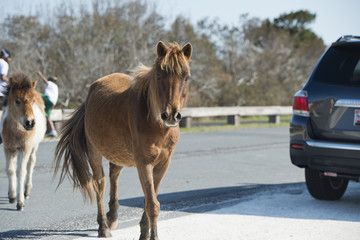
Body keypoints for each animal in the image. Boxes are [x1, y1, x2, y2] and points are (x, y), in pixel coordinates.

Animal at [1, 72, 46, 211]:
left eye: (33, 101)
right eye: (17, 101)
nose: (30, 123)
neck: (18, 131)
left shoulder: (25, 148)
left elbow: (21, 171)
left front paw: (20, 202)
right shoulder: (8, 148)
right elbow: (10, 170)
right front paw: (12, 196)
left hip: (33, 148)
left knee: (30, 164)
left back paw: (27, 191)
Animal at [54, 41, 191, 240]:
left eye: (186, 77)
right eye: (159, 75)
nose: (171, 115)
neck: (155, 123)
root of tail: (92, 90)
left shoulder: (162, 164)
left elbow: (149, 199)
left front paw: (144, 231)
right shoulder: (144, 163)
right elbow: (152, 204)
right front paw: (151, 235)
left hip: (118, 155)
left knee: (114, 175)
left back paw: (112, 217)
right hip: (95, 153)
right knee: (100, 184)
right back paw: (103, 226)